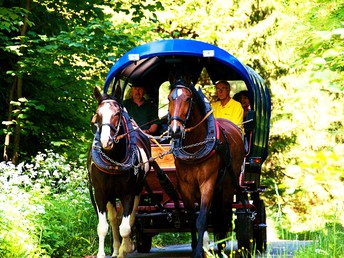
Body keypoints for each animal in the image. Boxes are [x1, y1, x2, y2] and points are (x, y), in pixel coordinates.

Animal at [86, 87, 150, 258]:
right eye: (98, 113)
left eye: (117, 113)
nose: (105, 141)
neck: (114, 161)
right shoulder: (100, 193)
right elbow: (103, 226)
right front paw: (103, 253)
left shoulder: (128, 194)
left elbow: (125, 227)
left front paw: (124, 250)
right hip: (110, 195)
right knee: (114, 219)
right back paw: (115, 249)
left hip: (137, 191)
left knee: (130, 219)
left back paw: (124, 247)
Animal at [168, 81, 246, 258]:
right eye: (169, 98)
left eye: (187, 99)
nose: (175, 130)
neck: (194, 147)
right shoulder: (185, 186)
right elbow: (191, 218)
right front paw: (194, 247)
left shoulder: (207, 183)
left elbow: (202, 219)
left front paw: (198, 252)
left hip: (228, 183)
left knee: (224, 214)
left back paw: (222, 248)